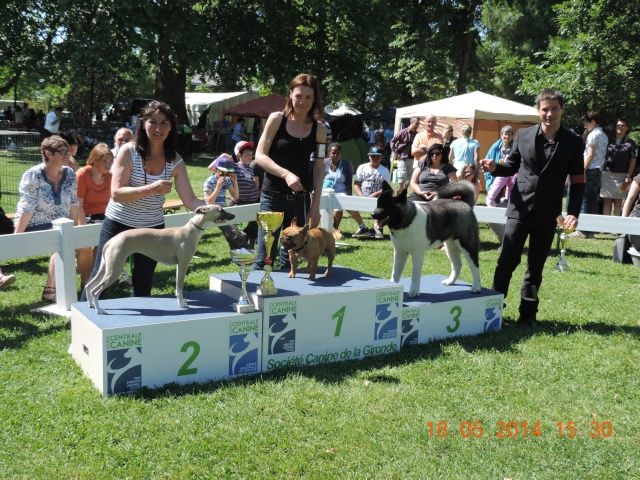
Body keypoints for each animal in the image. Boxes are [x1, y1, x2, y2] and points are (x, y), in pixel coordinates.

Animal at [85, 203, 234, 314]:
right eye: (220, 210)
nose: (234, 215)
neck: (191, 230)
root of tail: (111, 241)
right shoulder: (183, 264)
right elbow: (180, 287)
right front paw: (182, 304)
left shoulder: (179, 265)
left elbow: (177, 288)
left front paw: (181, 302)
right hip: (114, 270)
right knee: (95, 290)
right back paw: (99, 310)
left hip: (105, 267)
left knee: (89, 285)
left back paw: (91, 305)